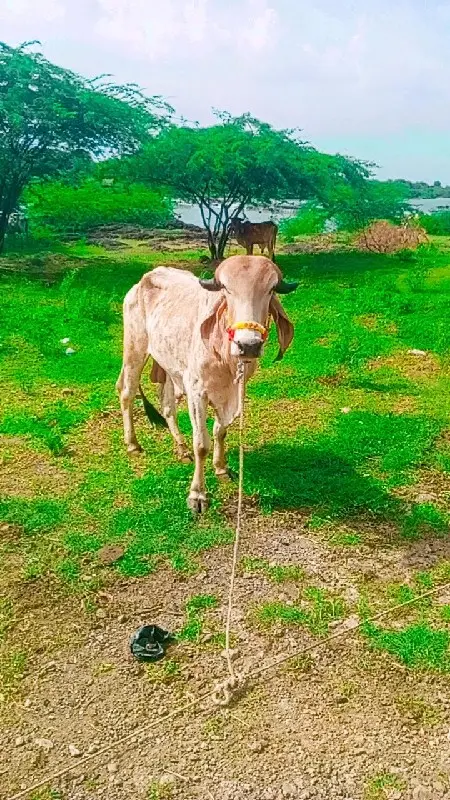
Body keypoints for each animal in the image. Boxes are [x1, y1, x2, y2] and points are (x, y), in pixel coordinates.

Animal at [116, 255, 297, 513]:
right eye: (226, 289)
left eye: (271, 289)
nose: (248, 345)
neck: (224, 357)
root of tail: (145, 279)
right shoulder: (196, 391)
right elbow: (202, 443)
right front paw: (198, 495)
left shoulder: (235, 393)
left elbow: (220, 431)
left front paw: (221, 468)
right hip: (134, 350)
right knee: (127, 392)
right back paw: (132, 444)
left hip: (170, 367)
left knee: (167, 405)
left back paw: (181, 448)